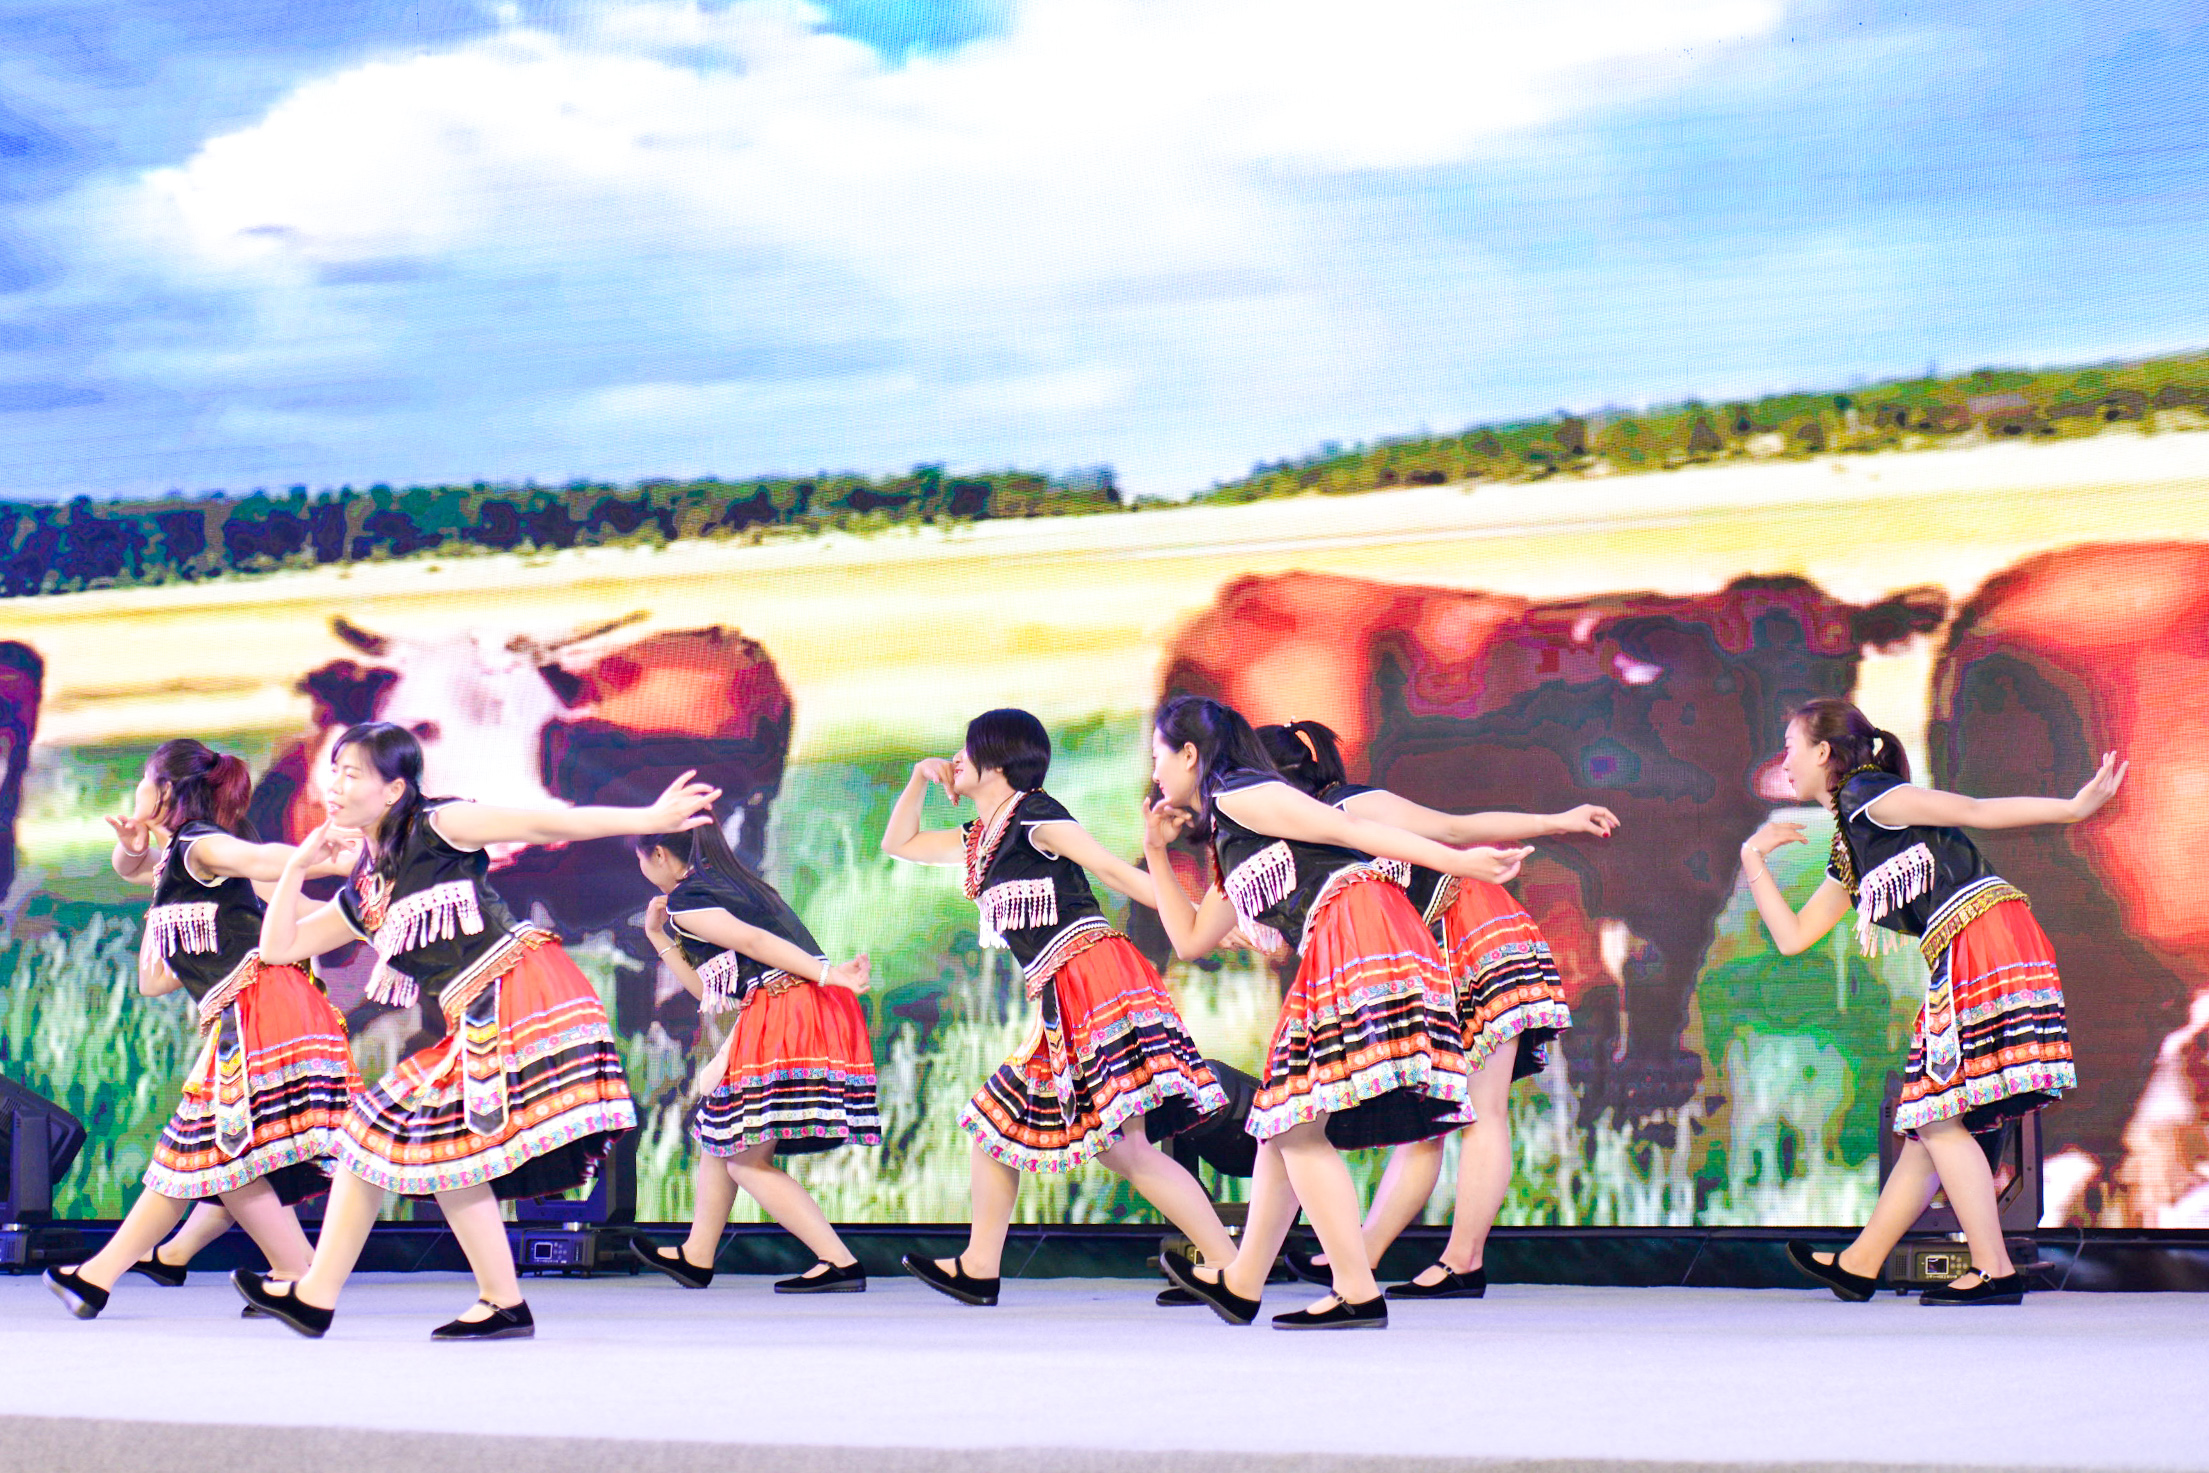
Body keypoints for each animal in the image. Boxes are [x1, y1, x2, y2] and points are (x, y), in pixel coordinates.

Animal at [1156, 570, 1948, 1127]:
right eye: (1727, 672)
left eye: (1840, 664)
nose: (1775, 774)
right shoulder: (1556, 877)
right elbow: (1590, 1012)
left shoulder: (1688, 888)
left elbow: (1656, 1001)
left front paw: (1648, 1121)